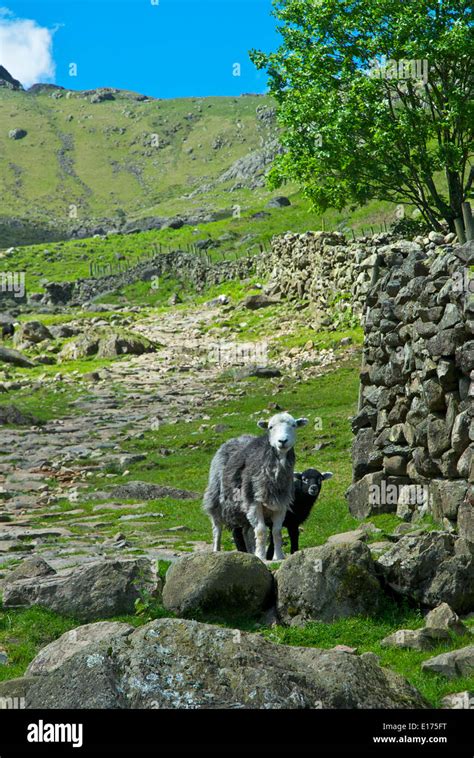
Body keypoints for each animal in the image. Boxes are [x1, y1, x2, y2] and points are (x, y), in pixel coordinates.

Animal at [203, 412, 308, 560]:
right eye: (270, 427)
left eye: (293, 425)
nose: (282, 441)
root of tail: (237, 438)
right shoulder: (253, 501)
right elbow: (261, 531)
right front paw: (261, 556)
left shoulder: (281, 504)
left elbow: (276, 532)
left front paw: (278, 556)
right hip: (216, 496)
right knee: (217, 527)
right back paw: (216, 551)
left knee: (246, 531)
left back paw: (250, 553)